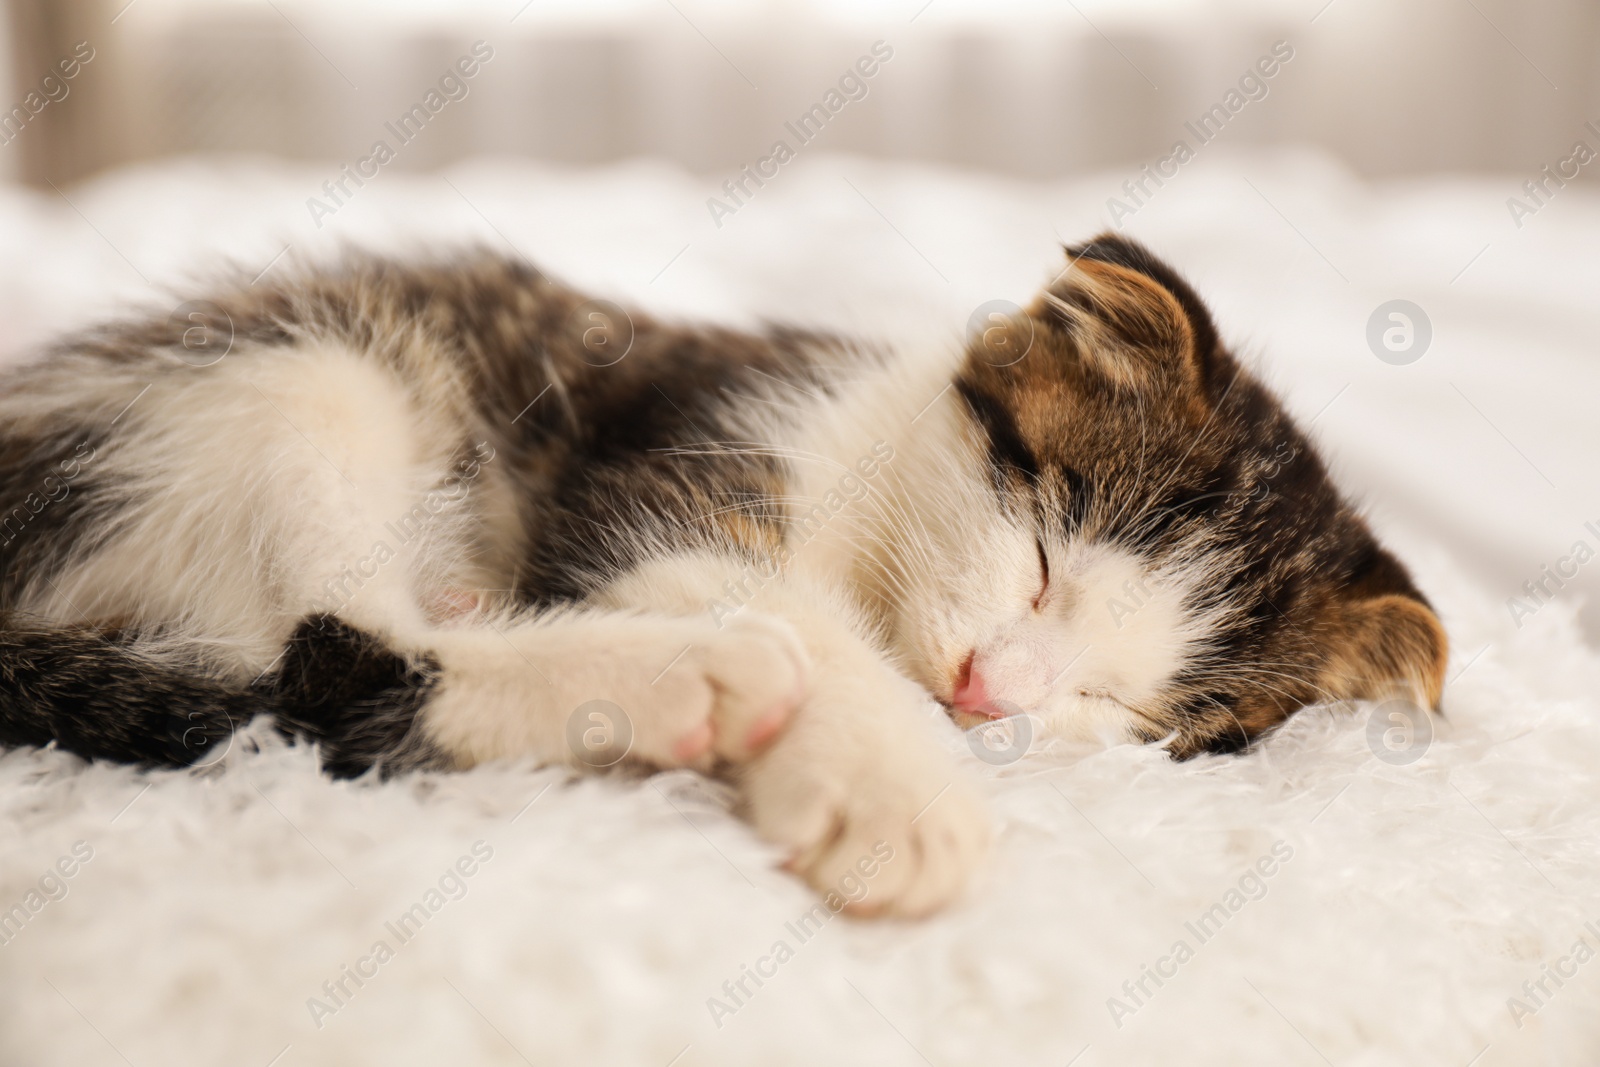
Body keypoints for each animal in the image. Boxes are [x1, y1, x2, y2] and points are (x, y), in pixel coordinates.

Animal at [0, 235, 1446, 921]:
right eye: (1043, 555)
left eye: (1124, 708)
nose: (991, 691)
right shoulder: (663, 472)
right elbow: (761, 594)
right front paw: (896, 787)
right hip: (294, 372)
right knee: (335, 662)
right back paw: (697, 672)